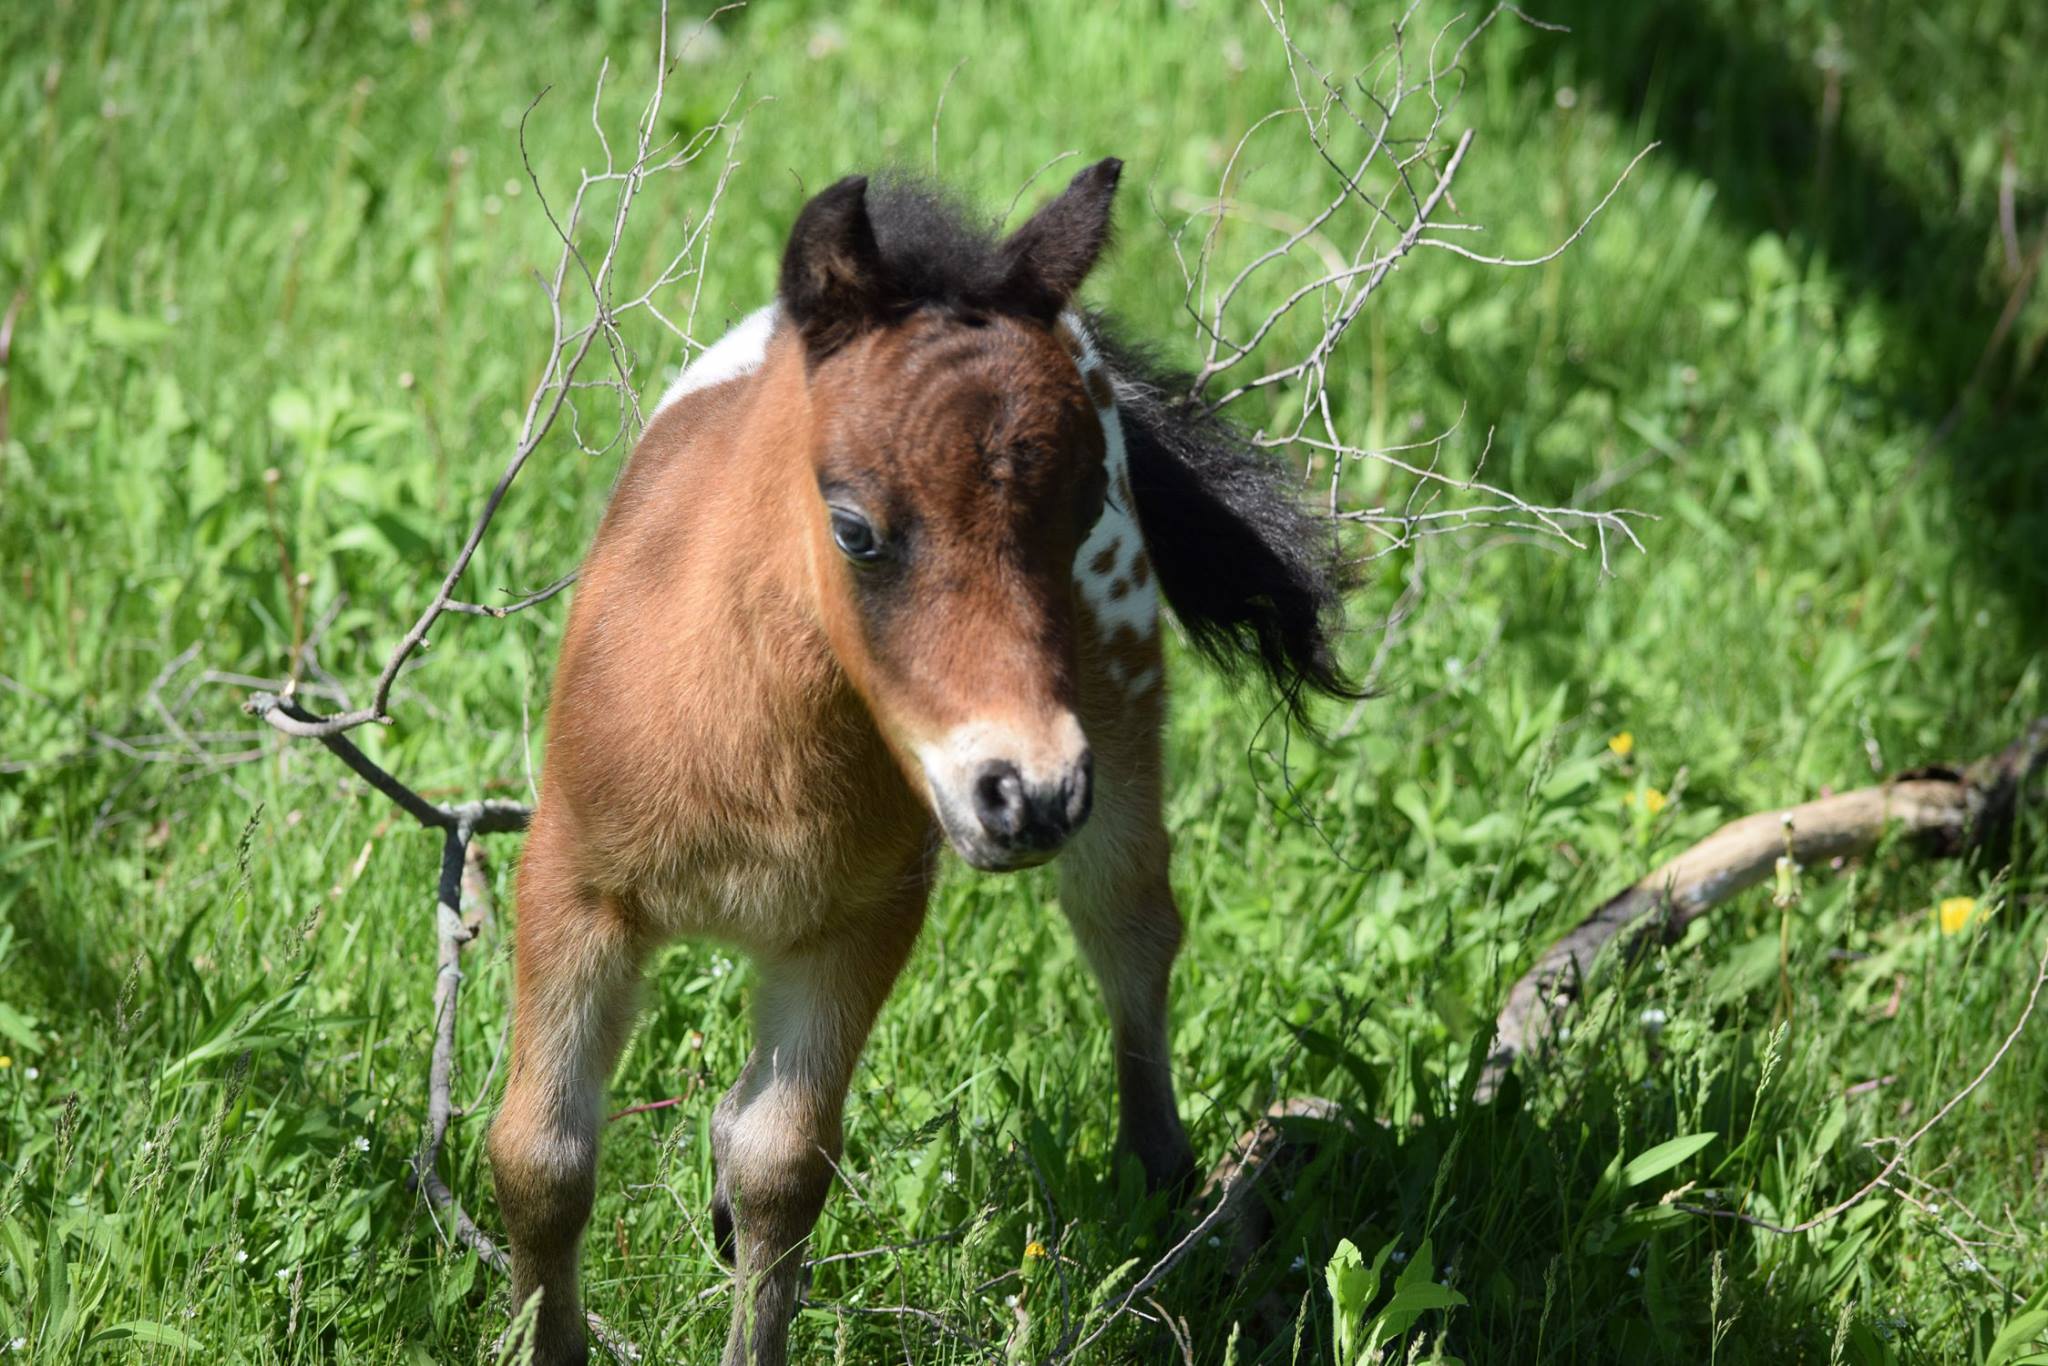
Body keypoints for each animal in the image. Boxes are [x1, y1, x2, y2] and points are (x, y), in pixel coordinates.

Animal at [489, 162, 1359, 1366]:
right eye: (854, 528)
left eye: (1084, 511)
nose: (1028, 793)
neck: (748, 742)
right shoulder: (571, 883)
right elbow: (542, 1157)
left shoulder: (862, 914)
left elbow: (782, 1166)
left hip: (1120, 729)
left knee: (1130, 927)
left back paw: (1163, 1179)